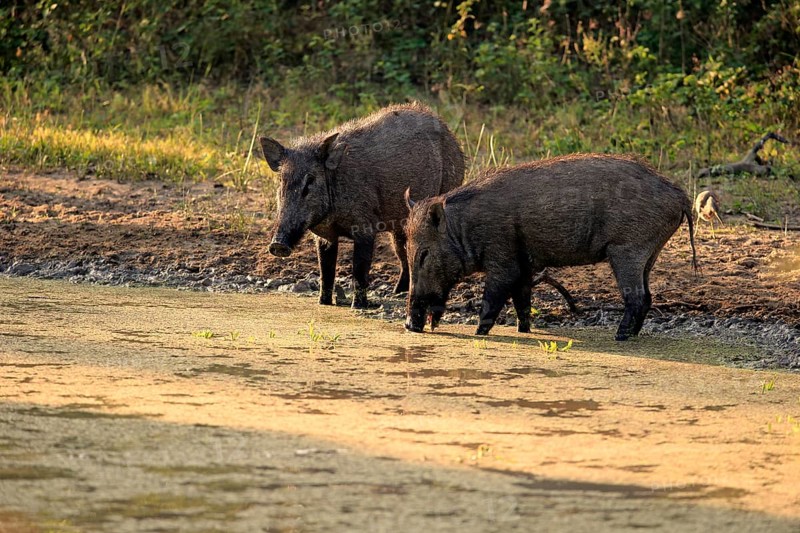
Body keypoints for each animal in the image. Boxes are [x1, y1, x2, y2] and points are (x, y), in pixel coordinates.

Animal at [260, 103, 464, 308]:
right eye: (281, 180)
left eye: (310, 180)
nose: (277, 244)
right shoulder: (325, 236)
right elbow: (326, 270)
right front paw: (323, 303)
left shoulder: (365, 228)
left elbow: (359, 269)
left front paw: (358, 305)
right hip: (400, 229)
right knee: (404, 255)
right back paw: (397, 292)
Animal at [404, 154, 698, 340]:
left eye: (424, 254)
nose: (409, 325)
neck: (464, 228)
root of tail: (681, 197)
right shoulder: (524, 263)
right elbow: (522, 299)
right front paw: (523, 330)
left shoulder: (503, 260)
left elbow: (494, 297)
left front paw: (479, 333)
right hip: (649, 252)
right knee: (647, 296)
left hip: (628, 249)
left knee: (637, 296)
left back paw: (620, 336)